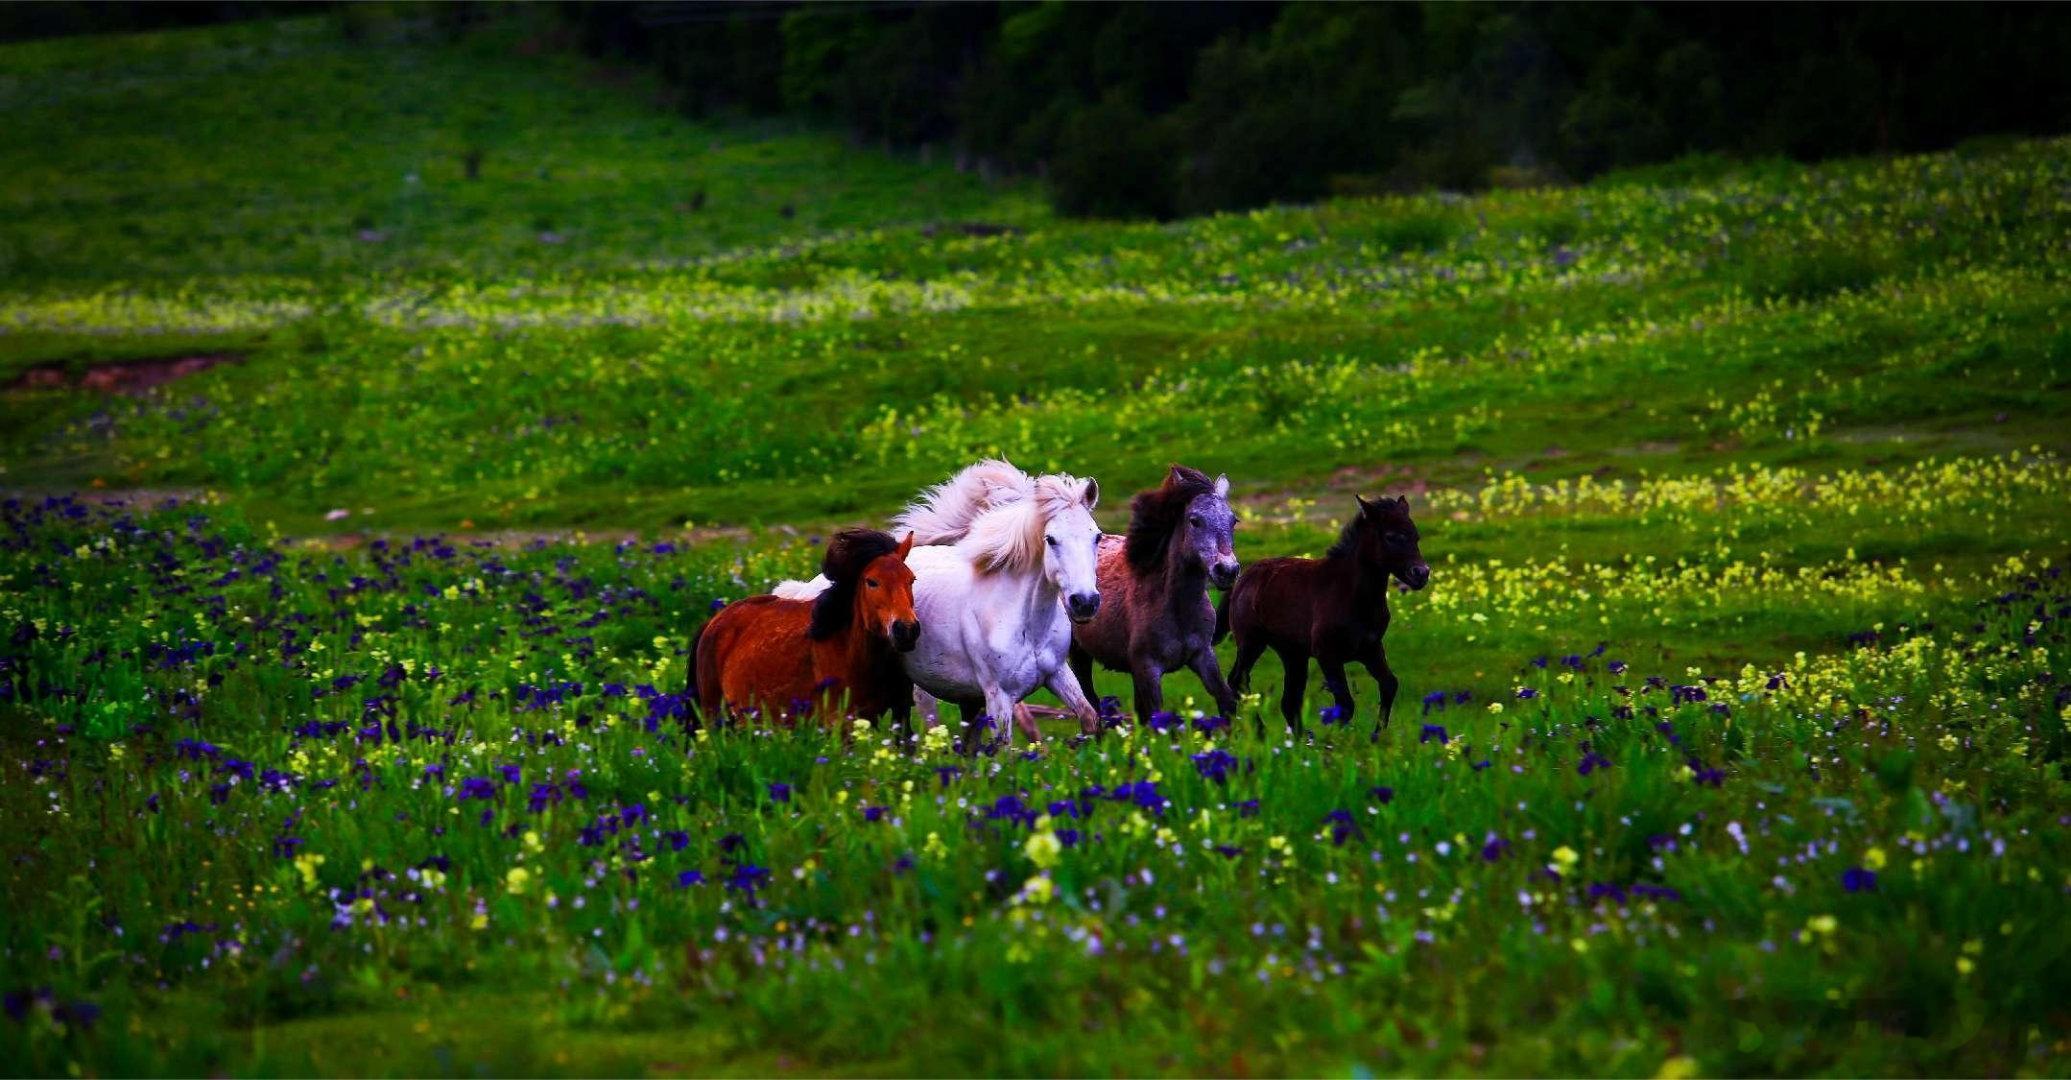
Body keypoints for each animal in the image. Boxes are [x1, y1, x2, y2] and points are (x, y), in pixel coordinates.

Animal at [695, 530, 923, 733]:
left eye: (911, 579)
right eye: (872, 582)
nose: (906, 629)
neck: (849, 651)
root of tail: (714, 620)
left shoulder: (898, 712)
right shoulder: (840, 723)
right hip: (713, 712)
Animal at [774, 462, 1101, 750]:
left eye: (1096, 536)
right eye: (1051, 539)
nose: (1085, 602)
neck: (1025, 622)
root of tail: (808, 588)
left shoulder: (1057, 673)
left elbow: (1090, 718)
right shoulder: (999, 696)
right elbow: (1005, 751)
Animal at [1076, 462, 1234, 725]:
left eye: (1234, 520)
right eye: (1194, 520)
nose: (1228, 570)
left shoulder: (1203, 655)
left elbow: (1227, 702)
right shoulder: (1148, 669)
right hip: (1078, 655)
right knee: (1090, 705)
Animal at [1217, 497, 1433, 742]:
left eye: (1416, 536)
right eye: (1391, 536)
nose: (1421, 573)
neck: (1352, 594)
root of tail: (1241, 580)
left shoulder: (1370, 649)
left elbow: (1389, 685)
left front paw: (1375, 737)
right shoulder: (1327, 654)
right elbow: (1345, 704)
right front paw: (1334, 742)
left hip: (1293, 654)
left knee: (1288, 700)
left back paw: (1299, 739)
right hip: (1251, 642)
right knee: (1238, 682)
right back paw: (1259, 732)